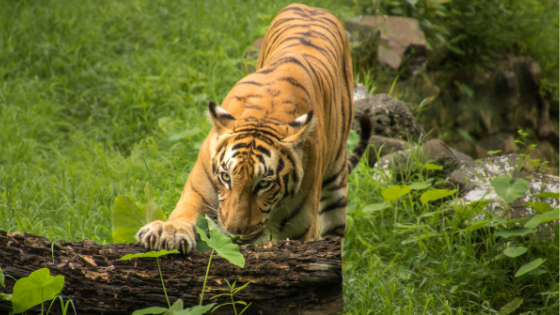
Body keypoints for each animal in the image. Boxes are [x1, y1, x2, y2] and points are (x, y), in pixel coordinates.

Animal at [136, 3, 372, 254]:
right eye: (226, 177)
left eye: (264, 184)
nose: (234, 232)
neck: (265, 115)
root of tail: (310, 7)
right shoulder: (199, 190)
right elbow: (184, 213)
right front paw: (166, 231)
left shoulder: (302, 228)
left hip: (336, 183)